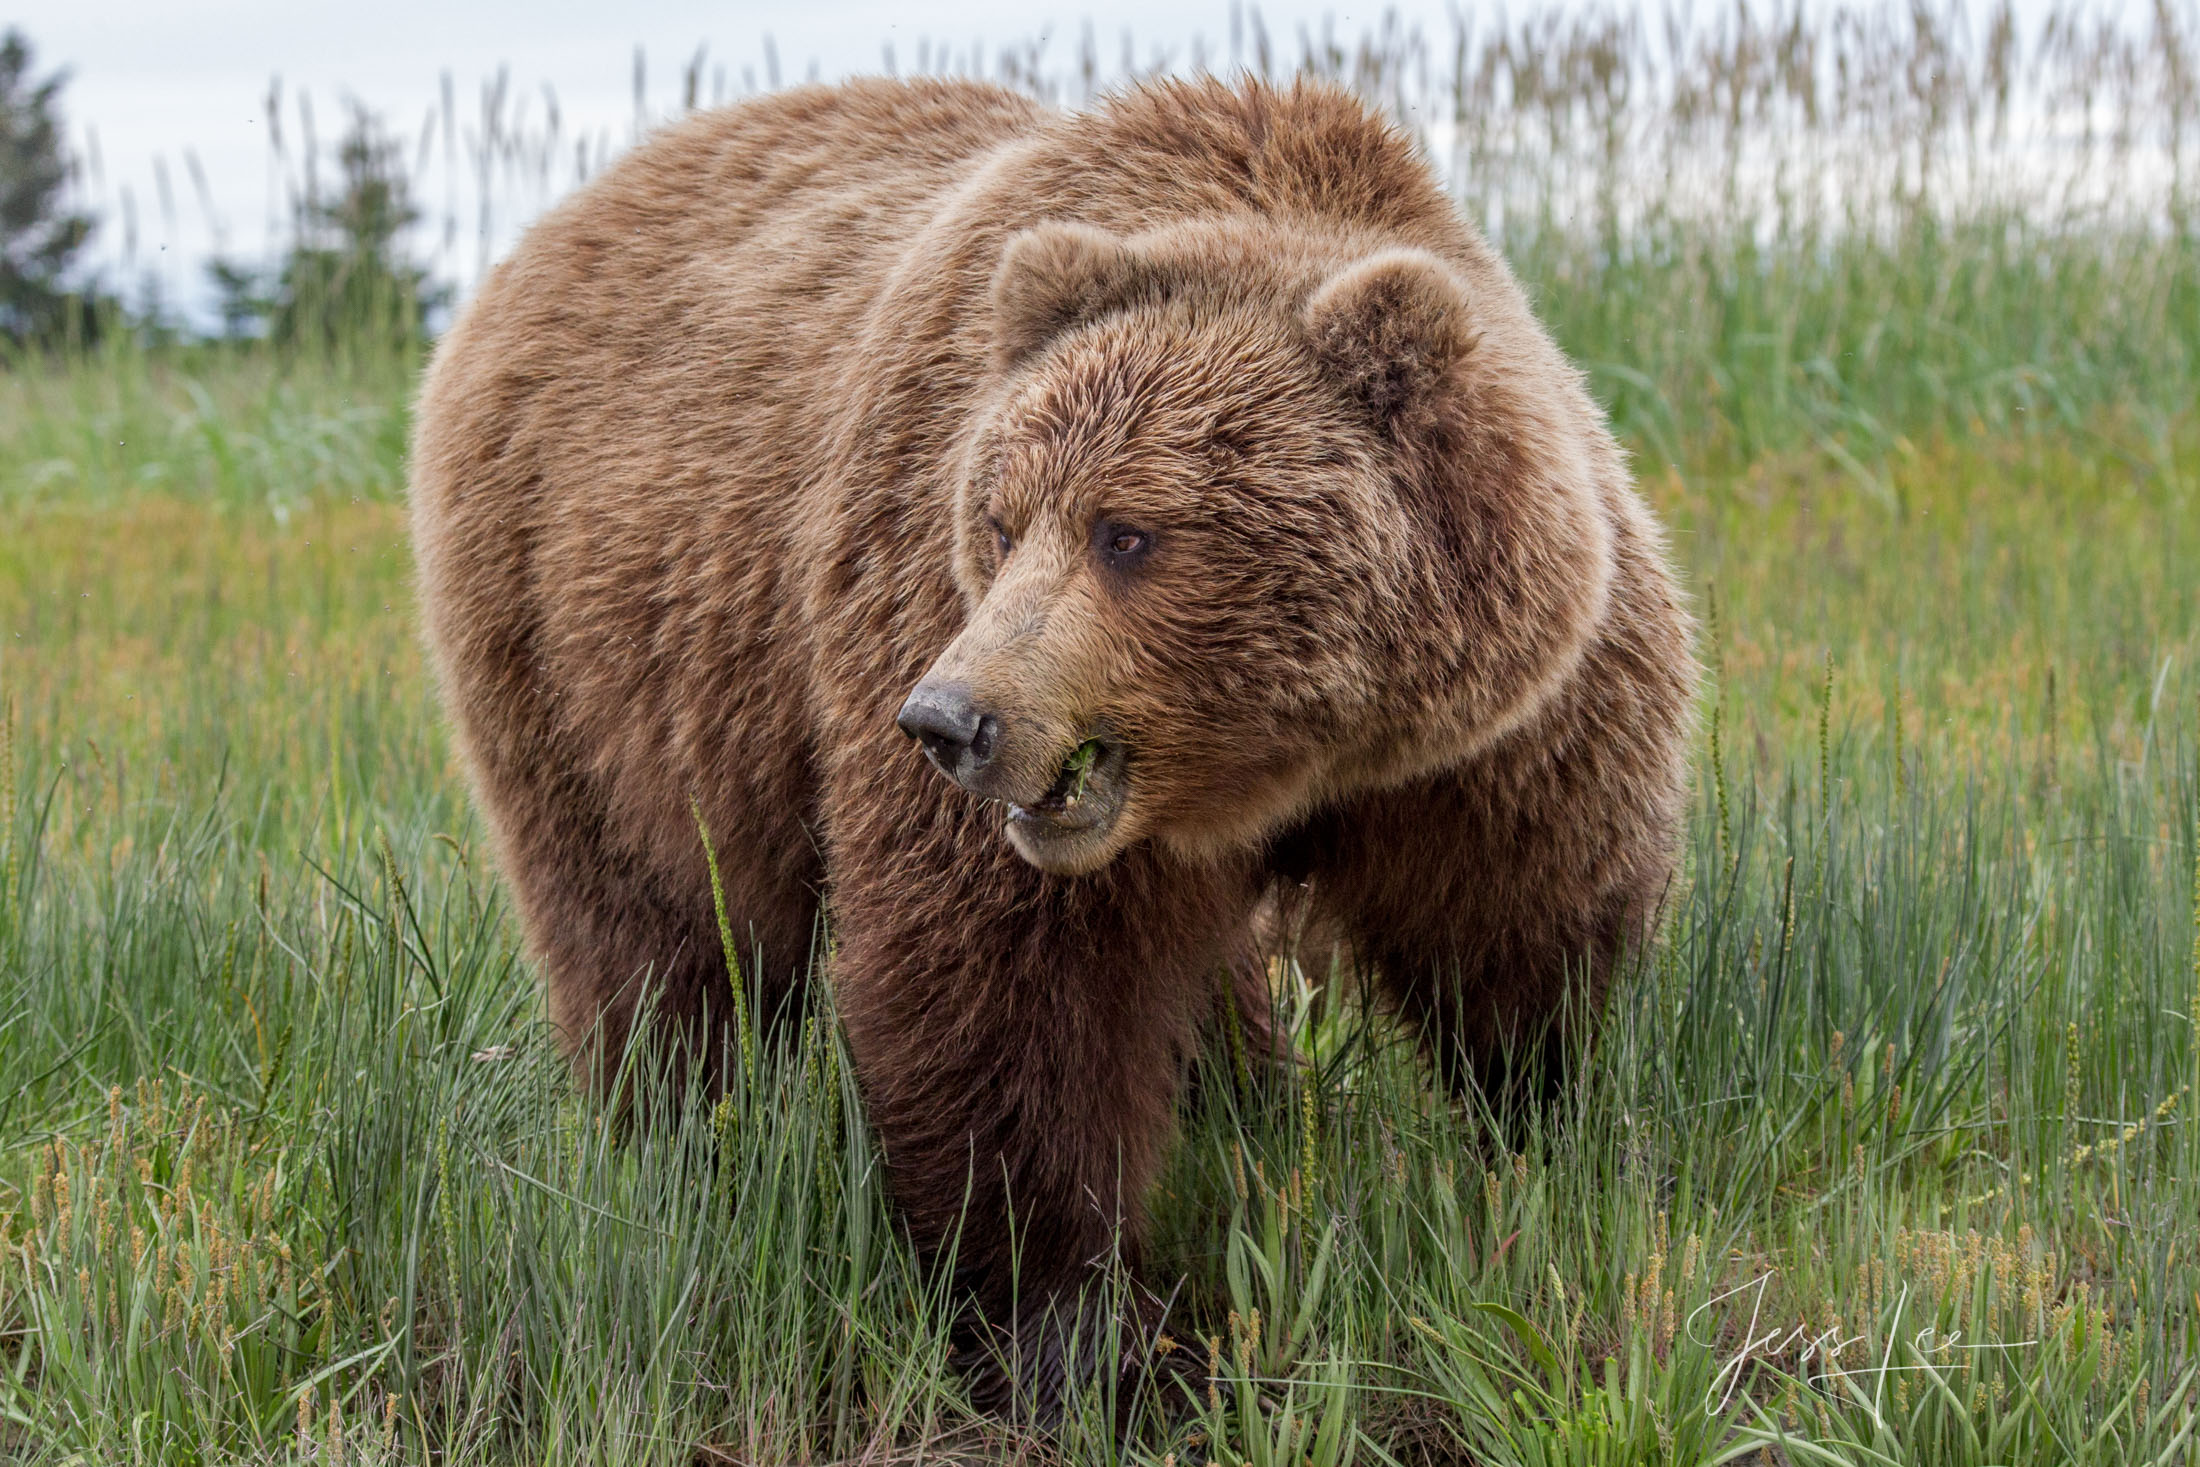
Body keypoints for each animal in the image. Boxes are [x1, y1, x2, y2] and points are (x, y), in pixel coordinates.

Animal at [409, 74, 1698, 1416]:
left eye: (1127, 532)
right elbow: (1002, 996)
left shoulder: (1497, 745)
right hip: (580, 660)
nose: (948, 720)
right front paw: (1075, 1331)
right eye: (1000, 517)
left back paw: (1250, 1097)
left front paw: (1549, 1146)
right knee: (650, 934)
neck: (1284, 761)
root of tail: (551, 231)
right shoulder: (919, 605)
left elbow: (1527, 941)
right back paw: (677, 1147)